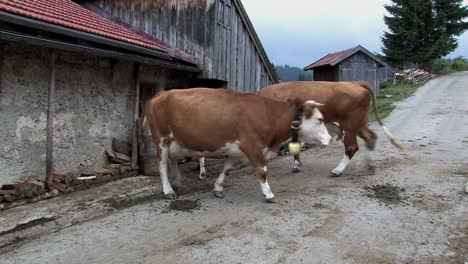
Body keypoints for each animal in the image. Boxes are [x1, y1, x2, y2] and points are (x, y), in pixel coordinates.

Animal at [144, 87, 330, 201]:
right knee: (161, 165)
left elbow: (226, 169)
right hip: (161, 140)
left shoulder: (236, 149)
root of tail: (161, 94)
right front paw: (268, 193)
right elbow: (262, 171)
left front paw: (218, 188)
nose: (329, 138)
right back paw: (168, 190)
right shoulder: (253, 146)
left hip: (173, 142)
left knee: (173, 160)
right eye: (320, 120)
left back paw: (177, 181)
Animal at [258, 80, 404, 175]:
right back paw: (370, 166)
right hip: (359, 124)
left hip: (349, 126)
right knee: (370, 137)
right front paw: (297, 165)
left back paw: (338, 170)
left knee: (352, 147)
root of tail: (354, 83)